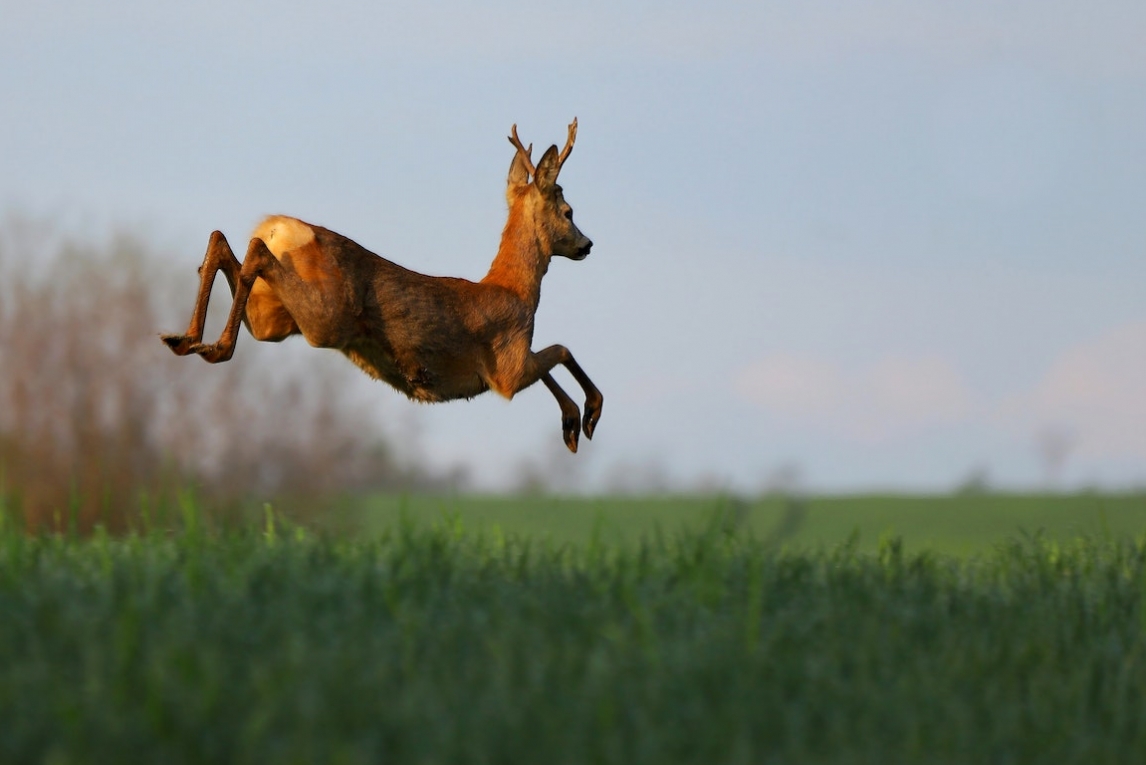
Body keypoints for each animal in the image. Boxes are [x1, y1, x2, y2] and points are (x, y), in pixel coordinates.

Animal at [163, 120, 609, 453]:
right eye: (569, 212)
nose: (587, 245)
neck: (515, 290)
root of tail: (281, 228)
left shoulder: (515, 364)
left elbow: (554, 357)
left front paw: (572, 424)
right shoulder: (507, 368)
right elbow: (561, 349)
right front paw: (586, 415)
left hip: (274, 319)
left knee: (224, 242)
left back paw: (186, 339)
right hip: (324, 318)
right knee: (252, 251)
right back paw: (214, 346)